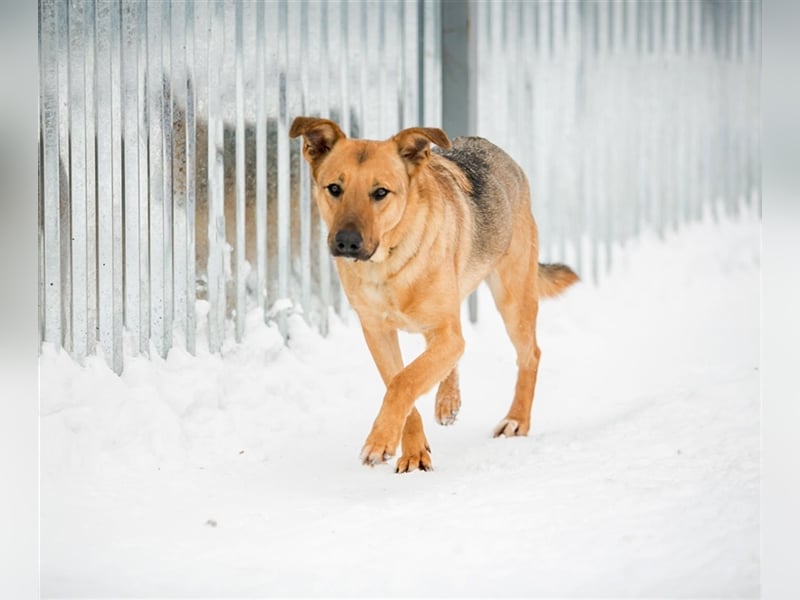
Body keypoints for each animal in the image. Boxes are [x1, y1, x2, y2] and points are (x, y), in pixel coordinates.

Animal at [290, 117, 580, 474]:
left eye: (380, 192)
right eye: (334, 188)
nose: (346, 242)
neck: (388, 265)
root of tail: (499, 152)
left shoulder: (444, 331)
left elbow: (404, 381)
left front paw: (379, 441)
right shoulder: (378, 333)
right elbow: (400, 381)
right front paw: (412, 450)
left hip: (512, 297)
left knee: (530, 354)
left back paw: (516, 420)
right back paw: (449, 400)